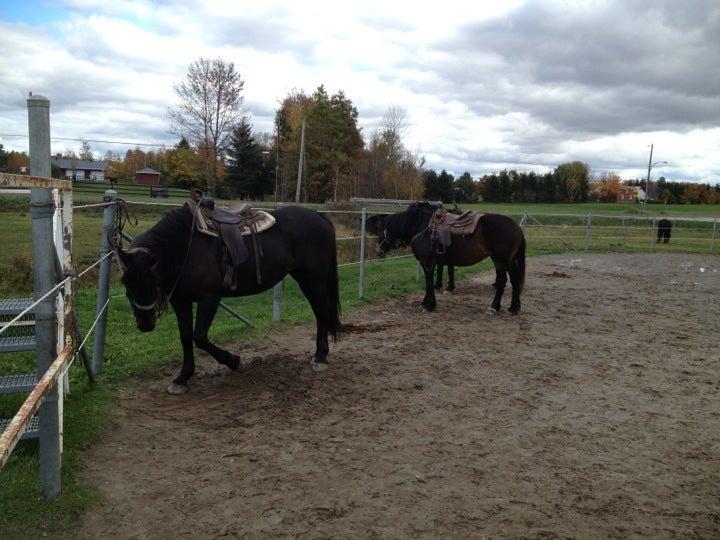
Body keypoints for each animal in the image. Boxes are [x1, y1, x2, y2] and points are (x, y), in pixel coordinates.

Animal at [116, 202, 342, 392]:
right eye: (125, 282)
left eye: (152, 279)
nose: (145, 324)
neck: (186, 247)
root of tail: (319, 216)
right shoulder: (181, 301)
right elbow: (186, 336)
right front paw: (182, 378)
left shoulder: (210, 298)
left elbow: (200, 337)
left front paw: (233, 361)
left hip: (314, 281)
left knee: (321, 312)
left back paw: (321, 357)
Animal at [380, 201, 524, 312]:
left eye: (383, 230)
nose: (379, 250)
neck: (423, 226)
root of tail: (516, 227)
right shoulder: (431, 262)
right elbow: (431, 279)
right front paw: (426, 302)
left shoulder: (427, 261)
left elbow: (429, 281)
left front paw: (429, 305)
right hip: (509, 261)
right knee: (514, 280)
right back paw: (514, 307)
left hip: (500, 260)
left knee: (502, 281)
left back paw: (494, 307)